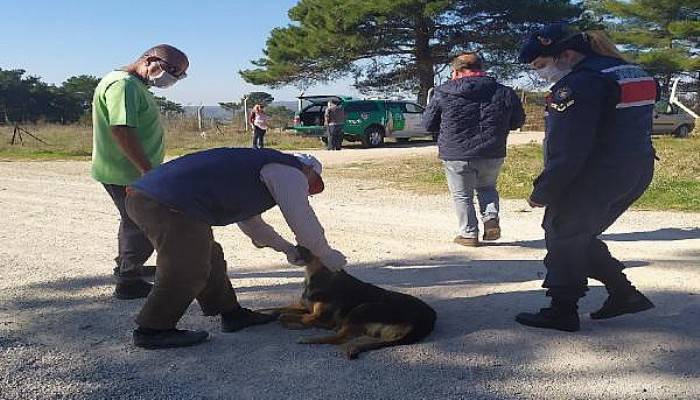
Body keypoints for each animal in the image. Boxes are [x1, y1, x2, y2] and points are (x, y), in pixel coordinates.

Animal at [264, 247, 438, 360]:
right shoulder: (304, 307)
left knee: (340, 338)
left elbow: (286, 316)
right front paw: (266, 311)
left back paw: (308, 339)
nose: (294, 245)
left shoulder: (319, 317)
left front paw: (291, 323)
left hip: (363, 308)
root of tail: (427, 321)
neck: (317, 274)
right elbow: (278, 309)